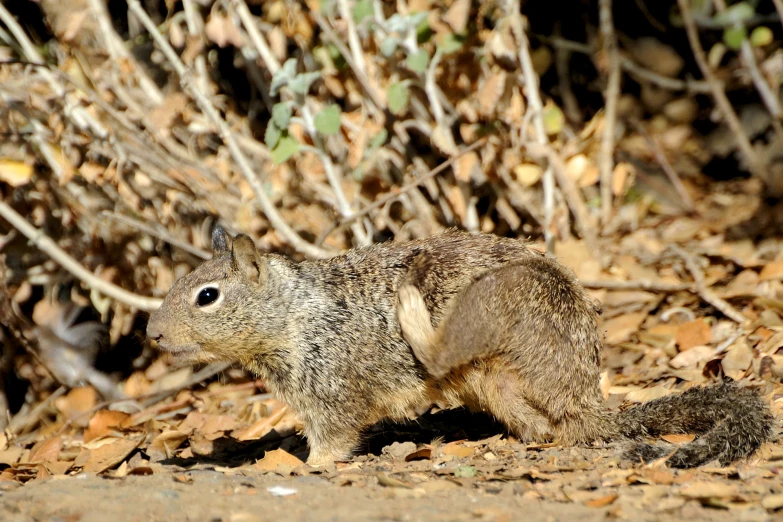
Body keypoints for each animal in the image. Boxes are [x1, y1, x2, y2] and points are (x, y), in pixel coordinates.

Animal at [149, 225, 776, 466]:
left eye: (207, 295)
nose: (152, 334)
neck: (295, 313)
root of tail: (585, 396)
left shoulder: (331, 387)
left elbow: (334, 437)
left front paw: (308, 466)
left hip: (493, 311)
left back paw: (411, 302)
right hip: (497, 385)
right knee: (541, 430)